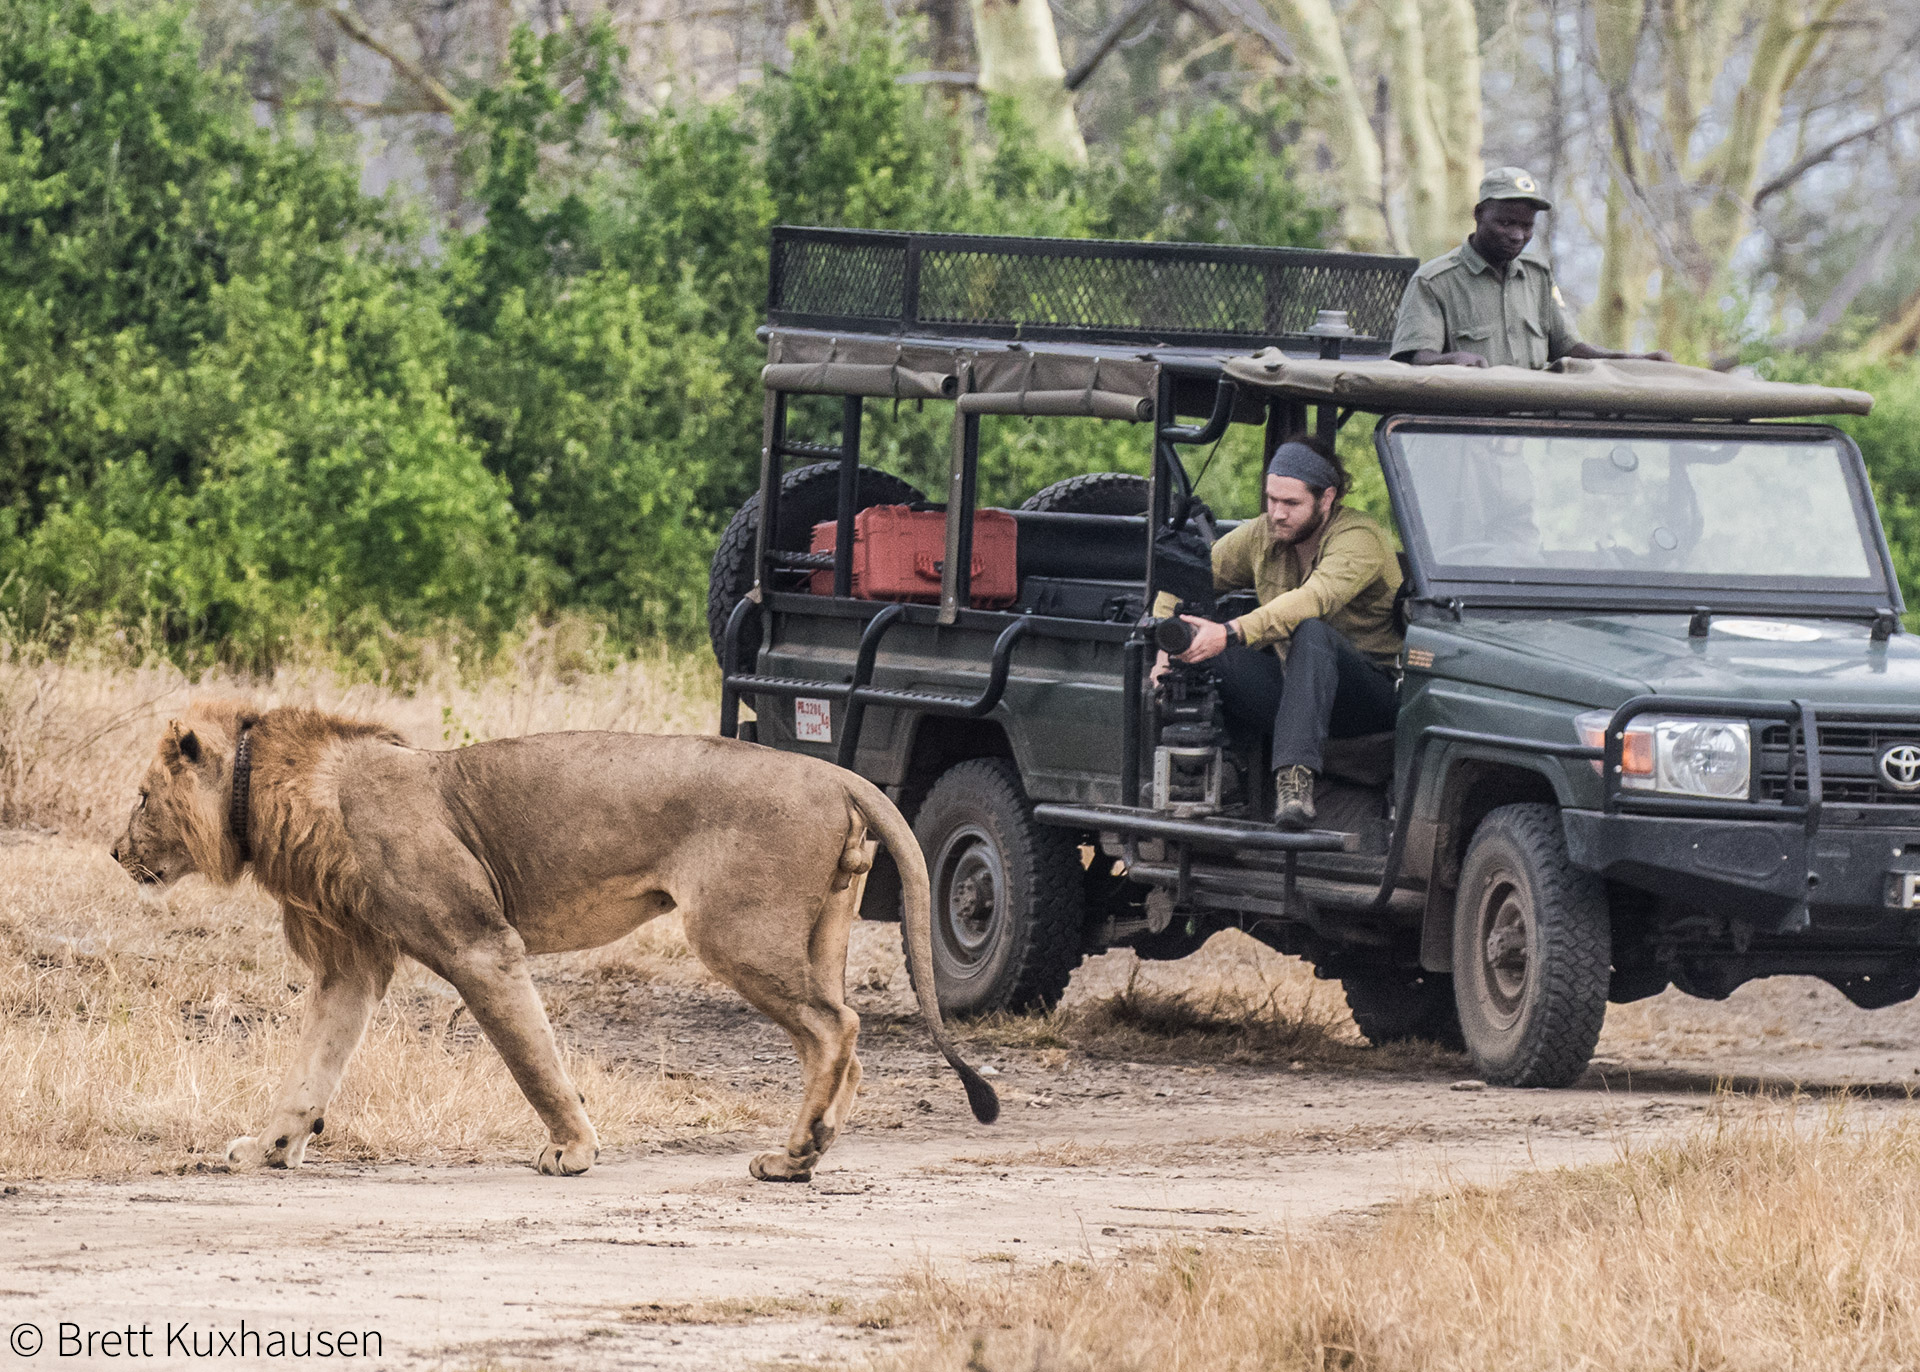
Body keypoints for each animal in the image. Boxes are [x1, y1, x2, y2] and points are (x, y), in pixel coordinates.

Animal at [110, 702, 998, 1189]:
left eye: (144, 798)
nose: (116, 852)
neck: (270, 796)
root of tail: (835, 774)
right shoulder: (350, 968)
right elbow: (311, 1069)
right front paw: (269, 1148)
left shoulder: (478, 944)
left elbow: (531, 1054)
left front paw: (572, 1149)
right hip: (818, 933)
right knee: (843, 1039)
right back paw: (806, 1155)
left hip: (734, 930)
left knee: (835, 1027)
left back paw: (798, 1151)